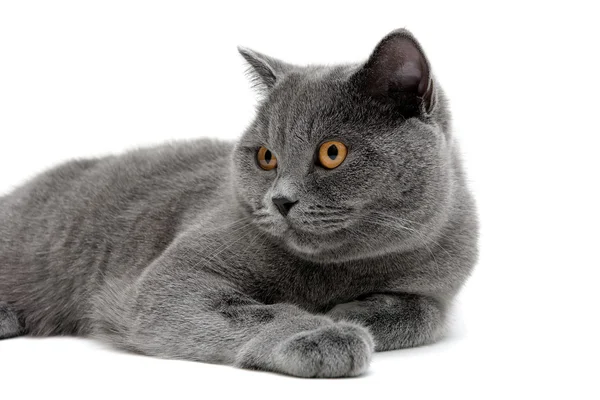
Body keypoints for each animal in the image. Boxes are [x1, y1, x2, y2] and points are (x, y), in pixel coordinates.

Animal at [0, 29, 478, 376]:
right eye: (266, 157)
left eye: (332, 153)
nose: (281, 200)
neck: (337, 270)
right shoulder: (172, 275)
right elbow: (257, 313)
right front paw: (322, 333)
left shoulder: (442, 278)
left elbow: (425, 314)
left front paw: (354, 313)